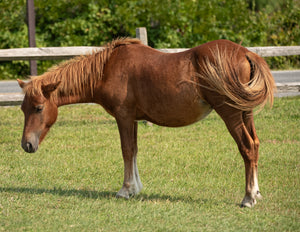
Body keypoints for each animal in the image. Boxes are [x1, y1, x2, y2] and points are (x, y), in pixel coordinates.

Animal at [17, 38, 276, 208]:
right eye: (22, 108)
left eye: (39, 108)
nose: (26, 145)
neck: (107, 68)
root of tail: (245, 53)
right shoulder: (132, 118)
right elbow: (134, 151)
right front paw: (135, 188)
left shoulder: (123, 116)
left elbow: (126, 150)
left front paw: (125, 190)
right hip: (245, 113)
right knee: (255, 144)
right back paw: (257, 193)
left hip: (230, 113)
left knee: (247, 147)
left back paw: (248, 198)